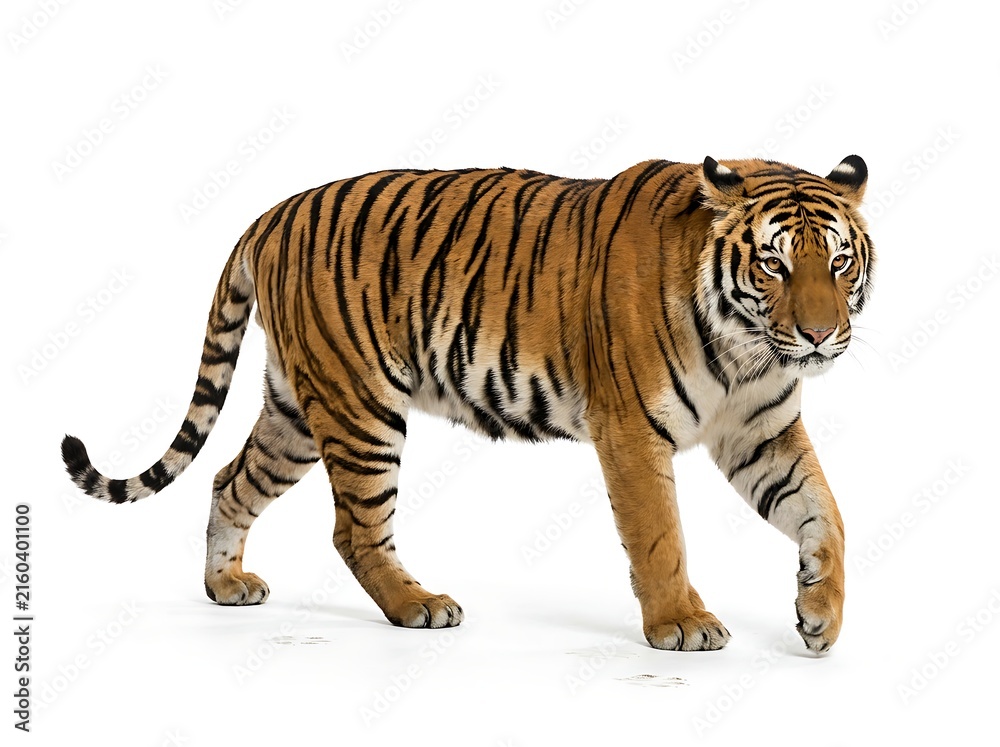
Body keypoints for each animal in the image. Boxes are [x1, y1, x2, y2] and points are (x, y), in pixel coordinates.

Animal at [61, 154, 874, 653]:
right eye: (774, 264)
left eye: (839, 261)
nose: (820, 333)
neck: (748, 351)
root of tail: (274, 212)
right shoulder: (631, 431)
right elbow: (660, 536)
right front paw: (681, 622)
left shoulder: (761, 432)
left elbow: (826, 513)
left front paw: (821, 617)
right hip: (360, 408)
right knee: (354, 530)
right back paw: (418, 605)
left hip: (296, 408)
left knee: (231, 480)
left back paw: (225, 585)